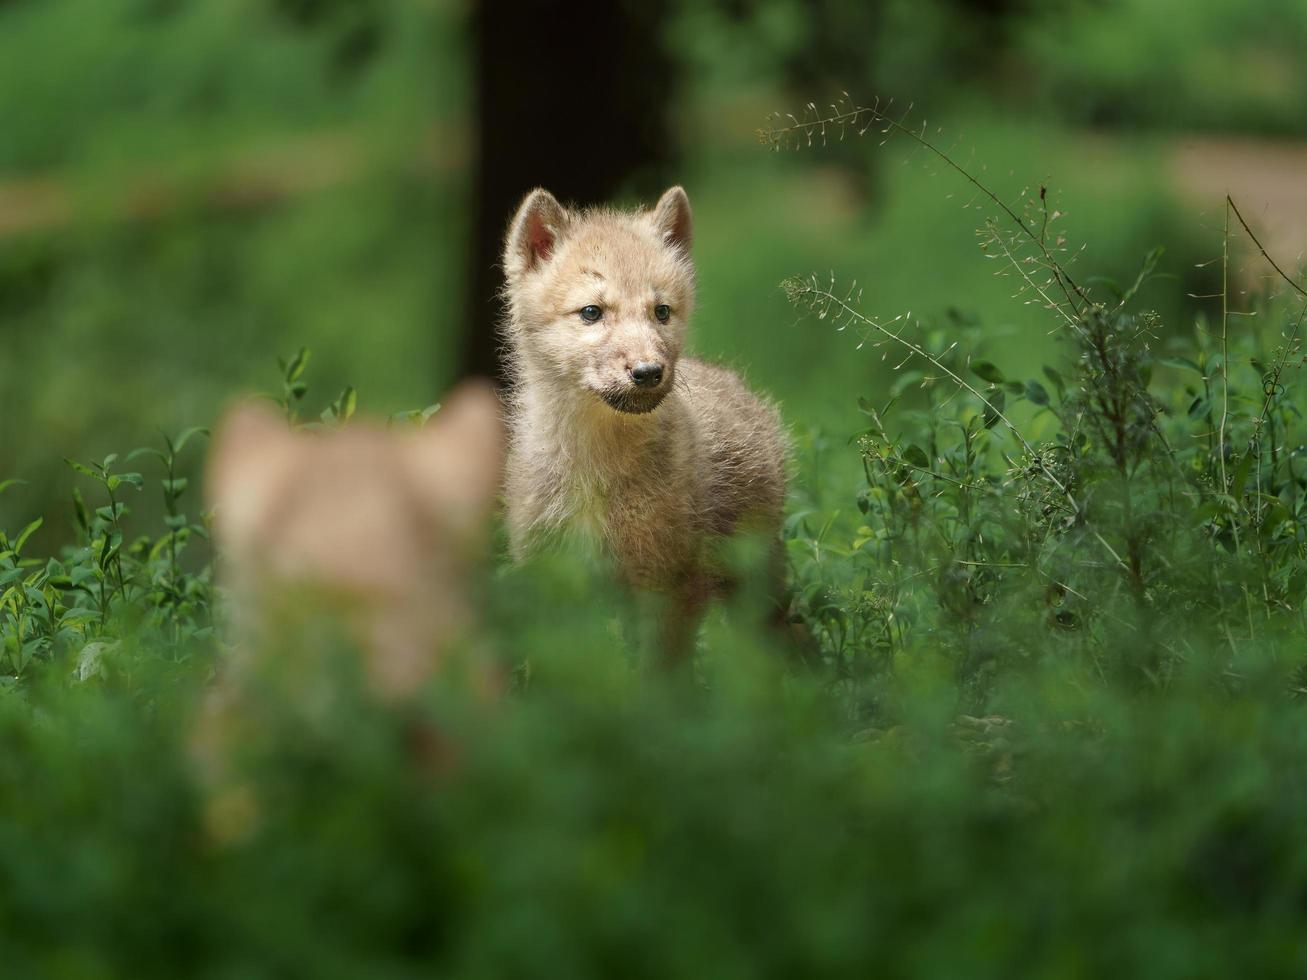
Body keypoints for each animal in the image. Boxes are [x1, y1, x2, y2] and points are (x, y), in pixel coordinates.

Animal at [499, 186, 784, 655]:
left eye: (661, 312)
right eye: (591, 312)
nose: (649, 372)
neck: (594, 468)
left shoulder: (670, 584)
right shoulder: (549, 579)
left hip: (754, 583)